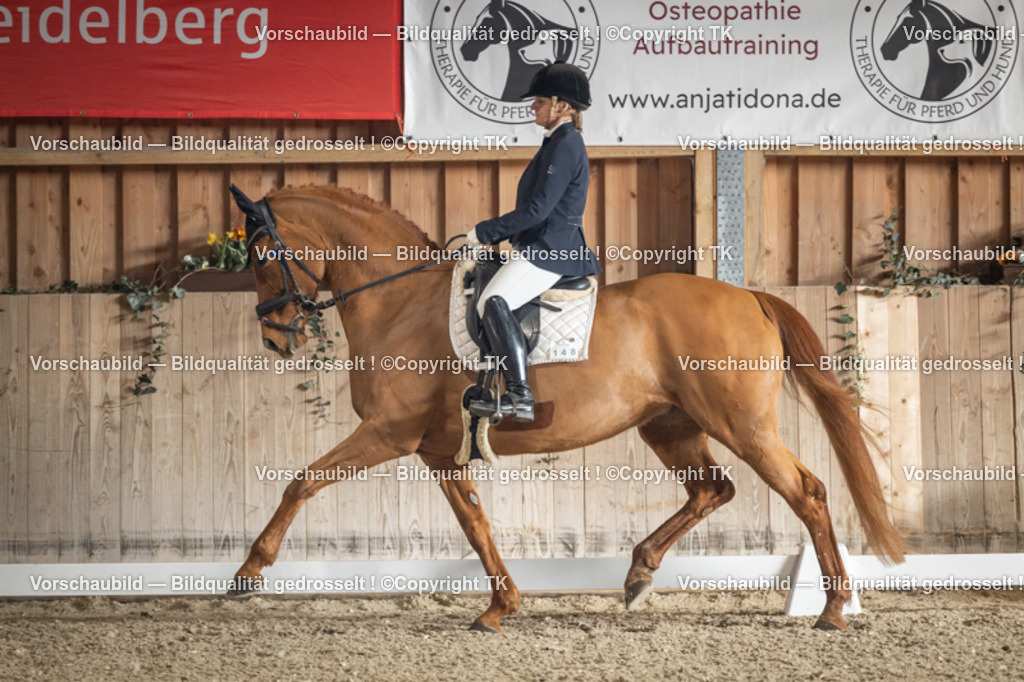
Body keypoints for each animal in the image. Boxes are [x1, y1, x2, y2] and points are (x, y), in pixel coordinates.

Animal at [228, 185, 905, 632]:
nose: (275, 338)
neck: (401, 301)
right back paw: (638, 575)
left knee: (806, 492)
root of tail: (750, 297)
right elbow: (474, 525)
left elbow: (300, 482)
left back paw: (833, 610)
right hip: (672, 427)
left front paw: (248, 573)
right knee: (713, 490)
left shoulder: (388, 433)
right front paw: (500, 607)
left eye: (261, 257)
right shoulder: (441, 451)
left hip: (743, 426)